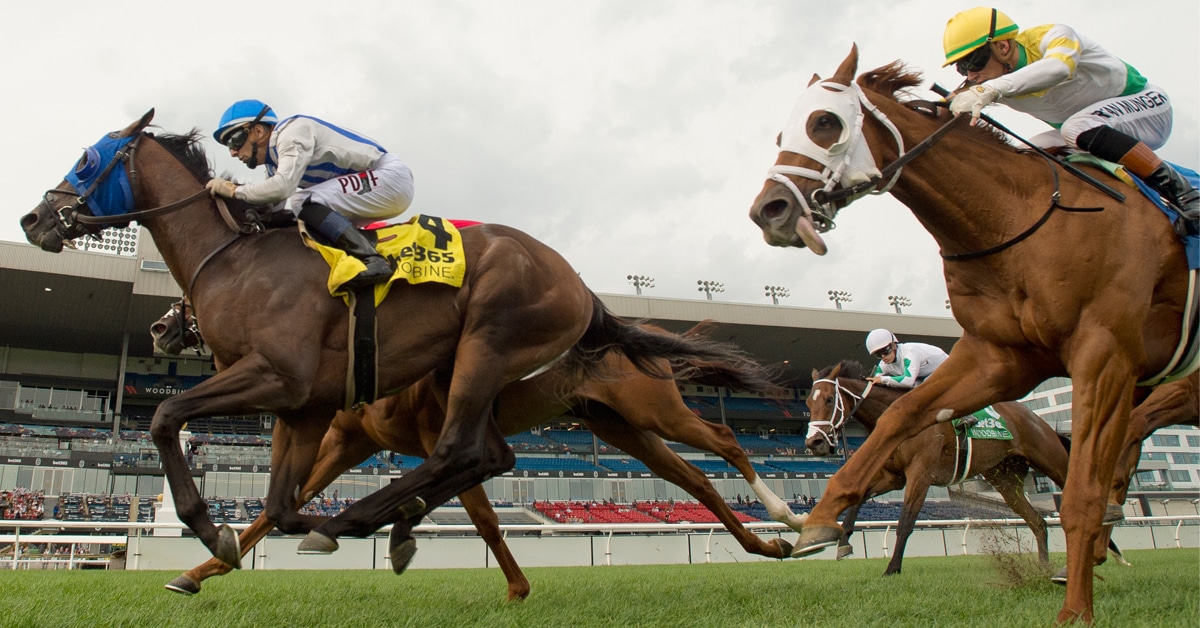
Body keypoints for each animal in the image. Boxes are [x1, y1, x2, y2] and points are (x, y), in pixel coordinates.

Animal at [22, 110, 785, 571]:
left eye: (89, 160)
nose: (35, 219)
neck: (238, 260)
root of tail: (582, 286)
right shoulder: (306, 409)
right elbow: (277, 503)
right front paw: (234, 547)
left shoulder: (277, 377)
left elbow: (163, 415)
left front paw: (210, 530)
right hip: (605, 418)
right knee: (672, 472)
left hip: (492, 346)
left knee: (467, 451)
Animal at [149, 304, 805, 597]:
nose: (159, 327)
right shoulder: (347, 440)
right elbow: (273, 510)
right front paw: (199, 570)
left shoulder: (435, 439)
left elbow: (485, 520)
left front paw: (513, 586)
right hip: (621, 428)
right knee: (694, 479)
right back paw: (765, 544)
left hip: (654, 412)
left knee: (724, 443)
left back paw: (789, 516)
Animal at [805, 360, 1070, 576]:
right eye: (808, 402)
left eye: (829, 399)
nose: (813, 443)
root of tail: (1036, 417)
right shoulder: (893, 477)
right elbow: (859, 498)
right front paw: (843, 543)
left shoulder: (920, 473)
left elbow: (906, 521)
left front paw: (892, 568)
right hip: (1005, 480)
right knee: (1038, 522)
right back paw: (1044, 568)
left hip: (1051, 461)